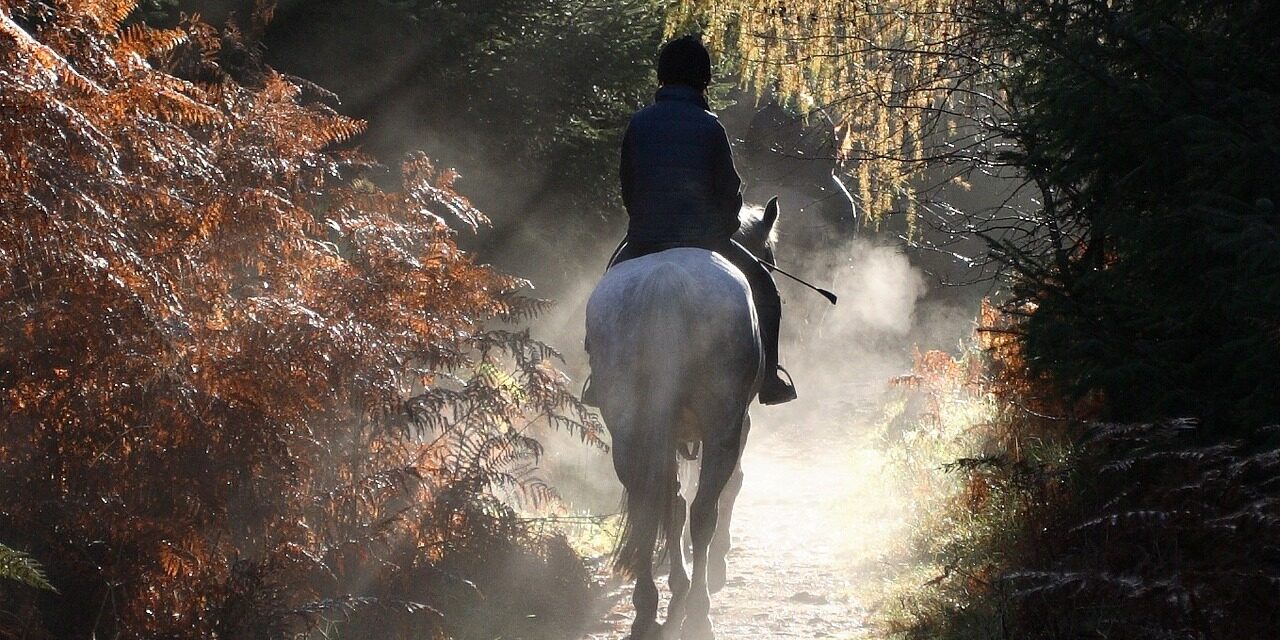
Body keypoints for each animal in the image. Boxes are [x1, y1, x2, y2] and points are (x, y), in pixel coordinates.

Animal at [583, 197, 778, 637]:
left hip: (629, 430)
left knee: (650, 506)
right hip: (722, 424)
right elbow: (726, 488)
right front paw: (710, 571)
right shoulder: (739, 424)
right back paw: (699, 611)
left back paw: (647, 610)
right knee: (704, 509)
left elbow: (670, 501)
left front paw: (676, 584)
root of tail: (666, 280)